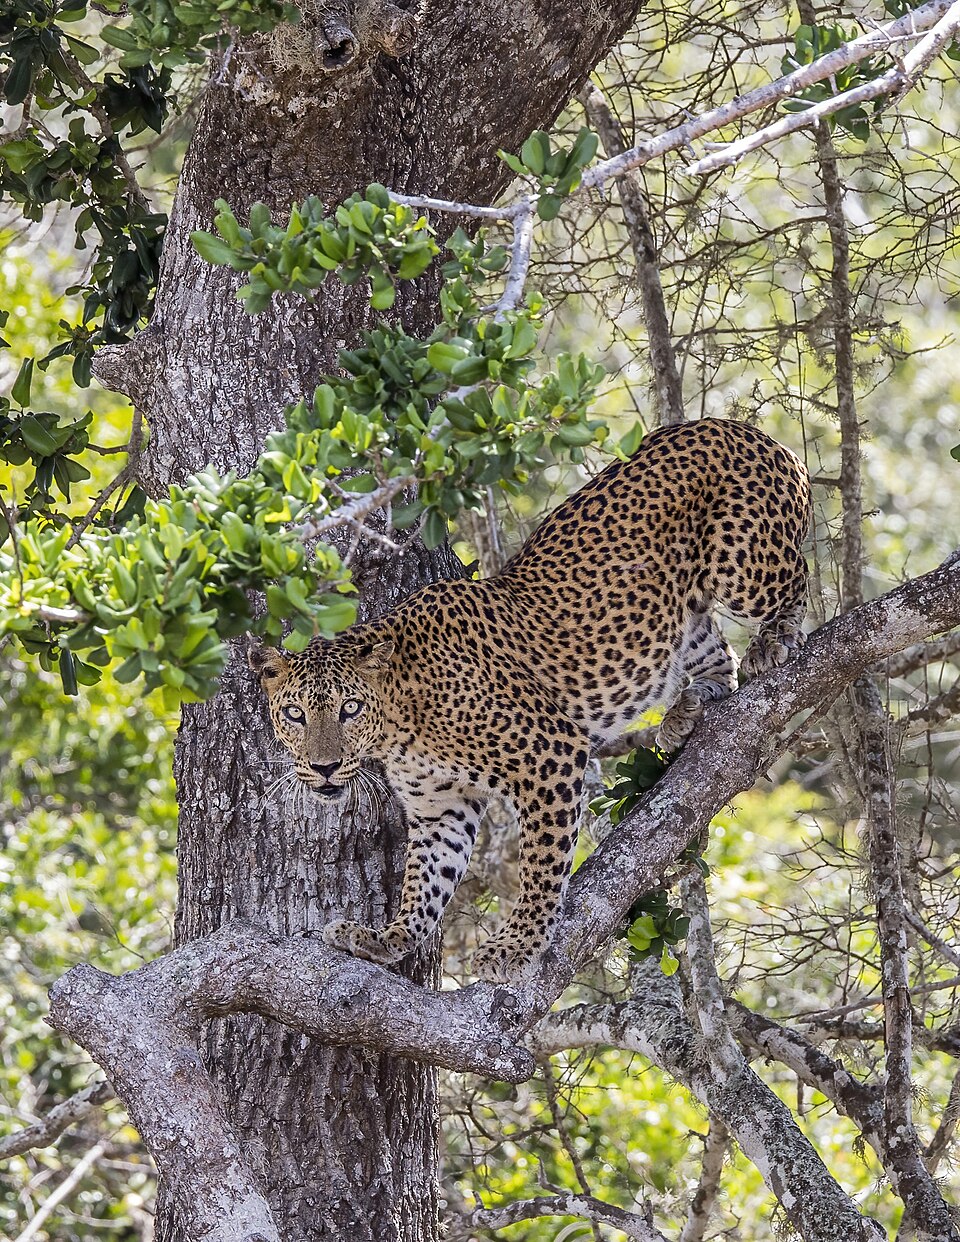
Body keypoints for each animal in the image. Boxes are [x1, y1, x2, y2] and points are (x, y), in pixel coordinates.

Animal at [250, 417, 811, 983]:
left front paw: (518, 943)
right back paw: (687, 711)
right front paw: (390, 938)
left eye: (350, 709)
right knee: (717, 655)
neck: (399, 724)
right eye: (295, 714)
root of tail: (736, 425)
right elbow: (425, 879)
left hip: (742, 562)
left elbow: (542, 861)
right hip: (683, 612)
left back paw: (773, 642)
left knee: (796, 577)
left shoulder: (550, 753)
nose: (324, 767)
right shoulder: (440, 807)